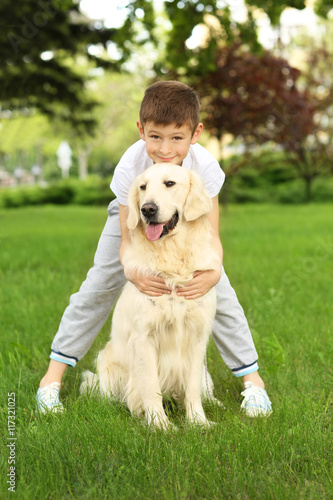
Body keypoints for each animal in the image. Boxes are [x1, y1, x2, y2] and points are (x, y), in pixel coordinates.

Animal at [80, 165, 220, 430]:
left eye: (170, 183)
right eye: (142, 187)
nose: (147, 209)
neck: (172, 257)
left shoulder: (197, 337)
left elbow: (192, 387)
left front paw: (198, 421)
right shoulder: (144, 338)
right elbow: (151, 387)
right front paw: (160, 425)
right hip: (108, 364)